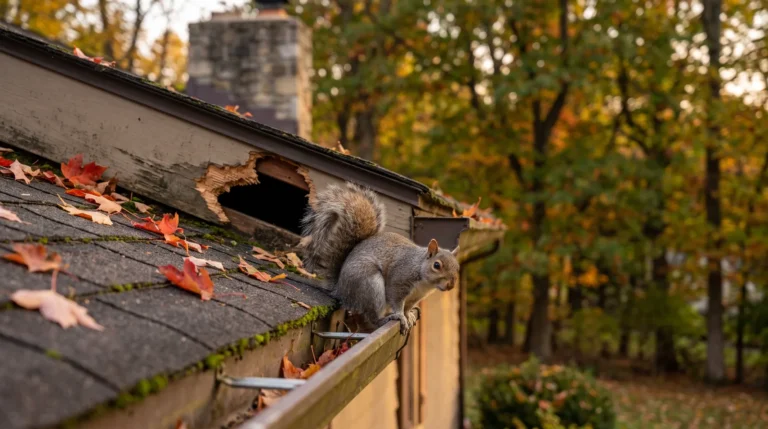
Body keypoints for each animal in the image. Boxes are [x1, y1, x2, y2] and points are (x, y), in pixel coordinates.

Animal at [299, 183, 461, 335]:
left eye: (457, 268)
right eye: (437, 265)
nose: (451, 285)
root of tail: (340, 289)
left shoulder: (416, 297)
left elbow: (407, 307)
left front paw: (408, 315)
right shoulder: (399, 280)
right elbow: (397, 301)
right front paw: (400, 316)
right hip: (370, 286)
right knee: (372, 317)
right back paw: (385, 318)